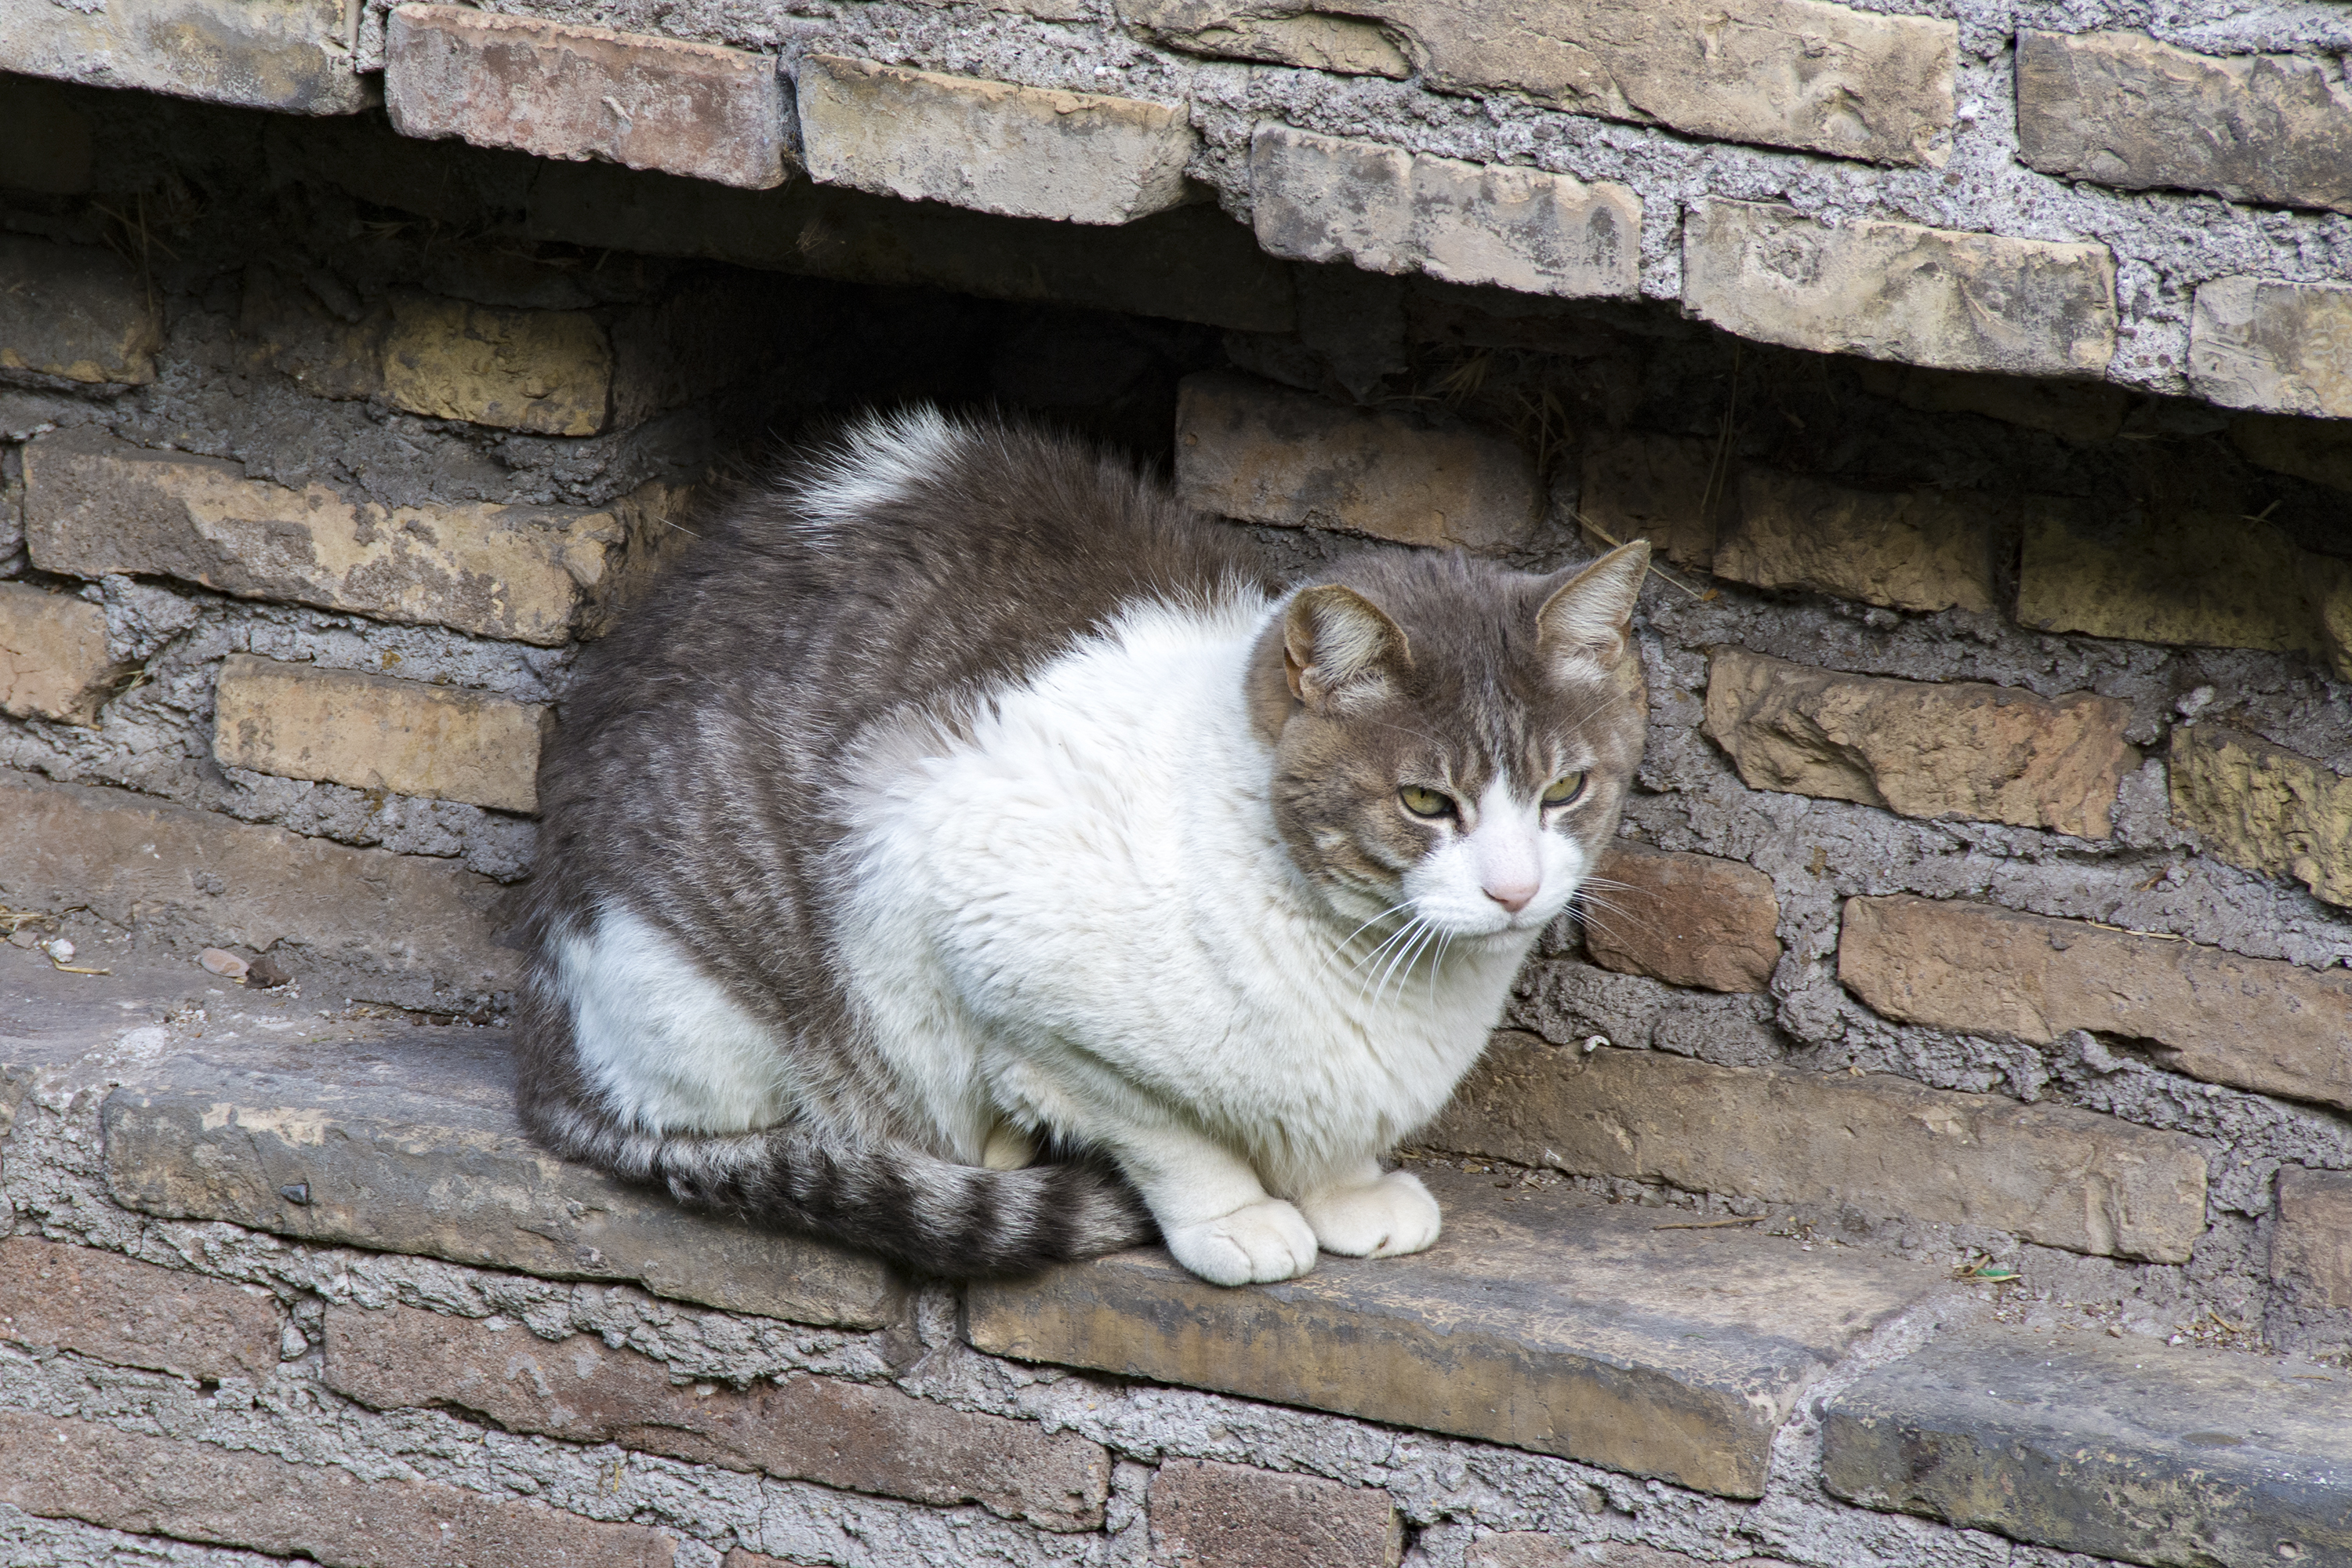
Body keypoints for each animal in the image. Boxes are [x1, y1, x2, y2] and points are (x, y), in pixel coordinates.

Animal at [520, 408, 1656, 1288]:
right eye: (1426, 800)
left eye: (1564, 790)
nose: (1514, 889)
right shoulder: (990, 950)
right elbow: (1166, 1132)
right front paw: (1237, 1214)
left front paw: (1346, 1188)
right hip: (709, 1000)